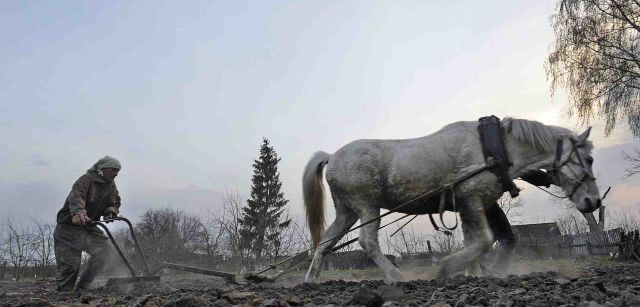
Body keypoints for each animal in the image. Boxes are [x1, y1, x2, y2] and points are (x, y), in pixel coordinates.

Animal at [302, 118, 604, 284]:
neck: (492, 147)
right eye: (588, 159)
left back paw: (311, 280)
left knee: (325, 243)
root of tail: (332, 156)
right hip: (367, 205)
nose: (593, 202)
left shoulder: (470, 205)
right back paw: (395, 276)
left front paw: (474, 274)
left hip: (347, 211)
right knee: (367, 241)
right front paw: (448, 268)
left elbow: (475, 241)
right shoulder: (471, 197)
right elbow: (482, 241)